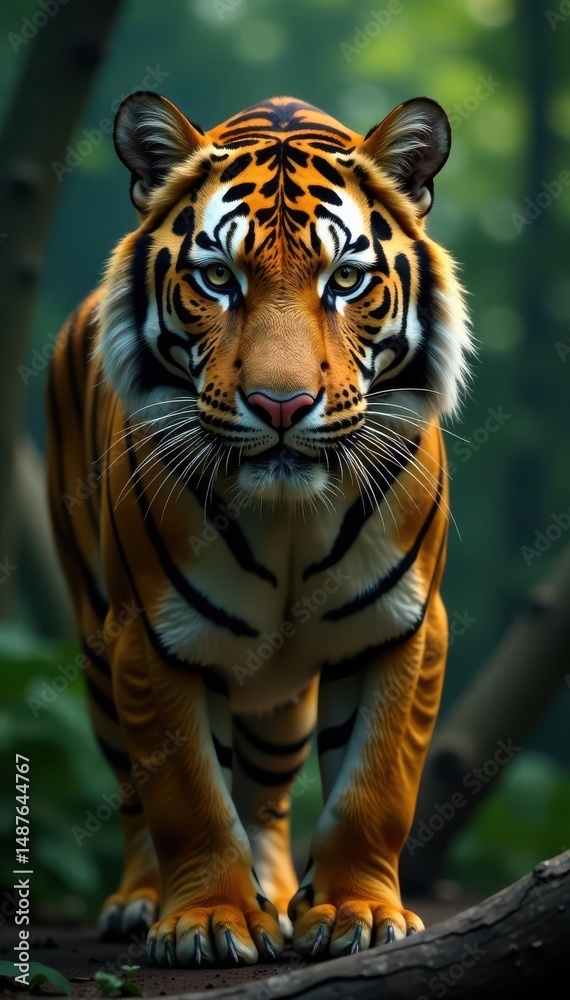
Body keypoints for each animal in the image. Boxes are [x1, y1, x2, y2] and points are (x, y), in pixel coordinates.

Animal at [46, 91, 471, 968]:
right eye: (218, 278)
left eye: (346, 280)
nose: (281, 406)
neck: (288, 515)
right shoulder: (151, 637)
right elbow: (186, 798)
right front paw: (208, 921)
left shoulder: (403, 628)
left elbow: (374, 789)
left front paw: (354, 913)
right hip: (97, 651)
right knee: (133, 794)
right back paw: (143, 902)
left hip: (280, 702)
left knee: (269, 794)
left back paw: (276, 895)